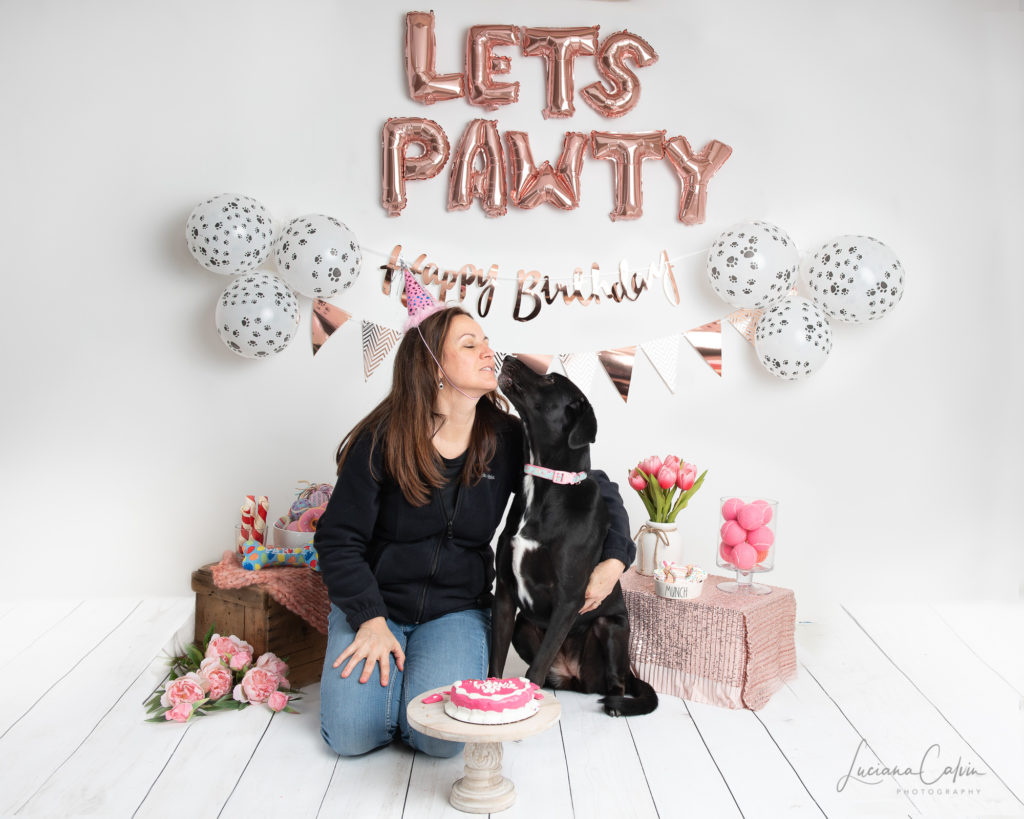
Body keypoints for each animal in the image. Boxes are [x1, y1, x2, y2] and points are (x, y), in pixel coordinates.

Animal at [491, 358, 659, 716]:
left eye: (552, 380)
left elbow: (535, 668)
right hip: (524, 626)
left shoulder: (569, 598)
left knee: (615, 683)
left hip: (611, 627)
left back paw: (614, 704)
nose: (509, 358)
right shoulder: (506, 593)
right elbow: (495, 660)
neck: (546, 483)